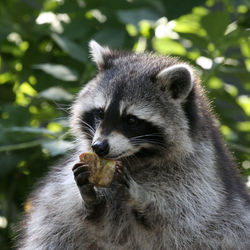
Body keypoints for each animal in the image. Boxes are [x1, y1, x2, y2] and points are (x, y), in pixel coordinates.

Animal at [17, 42, 250, 249]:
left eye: (131, 120)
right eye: (100, 113)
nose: (99, 147)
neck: (135, 158)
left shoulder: (199, 173)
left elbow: (184, 211)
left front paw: (143, 198)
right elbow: (78, 209)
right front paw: (89, 198)